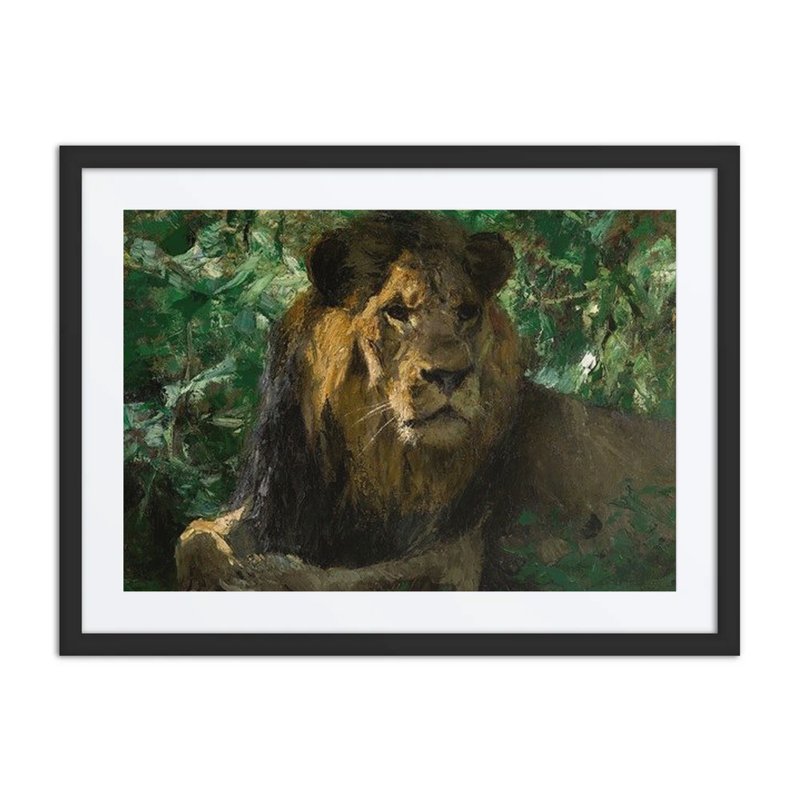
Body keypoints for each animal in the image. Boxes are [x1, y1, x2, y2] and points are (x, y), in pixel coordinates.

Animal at [176, 211, 675, 591]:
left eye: (466, 311)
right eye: (396, 311)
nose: (451, 374)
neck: (377, 466)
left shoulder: (454, 556)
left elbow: (341, 581)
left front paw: (265, 574)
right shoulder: (272, 505)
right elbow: (195, 538)